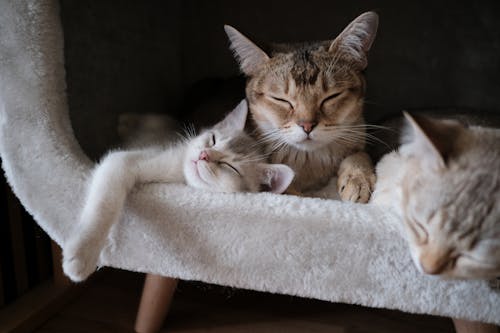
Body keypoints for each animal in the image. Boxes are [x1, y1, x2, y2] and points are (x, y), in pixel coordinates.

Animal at [64, 100, 294, 282]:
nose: (203, 155)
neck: (178, 176)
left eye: (230, 166)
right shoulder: (125, 161)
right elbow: (105, 203)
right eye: (213, 140)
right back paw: (125, 121)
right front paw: (82, 254)